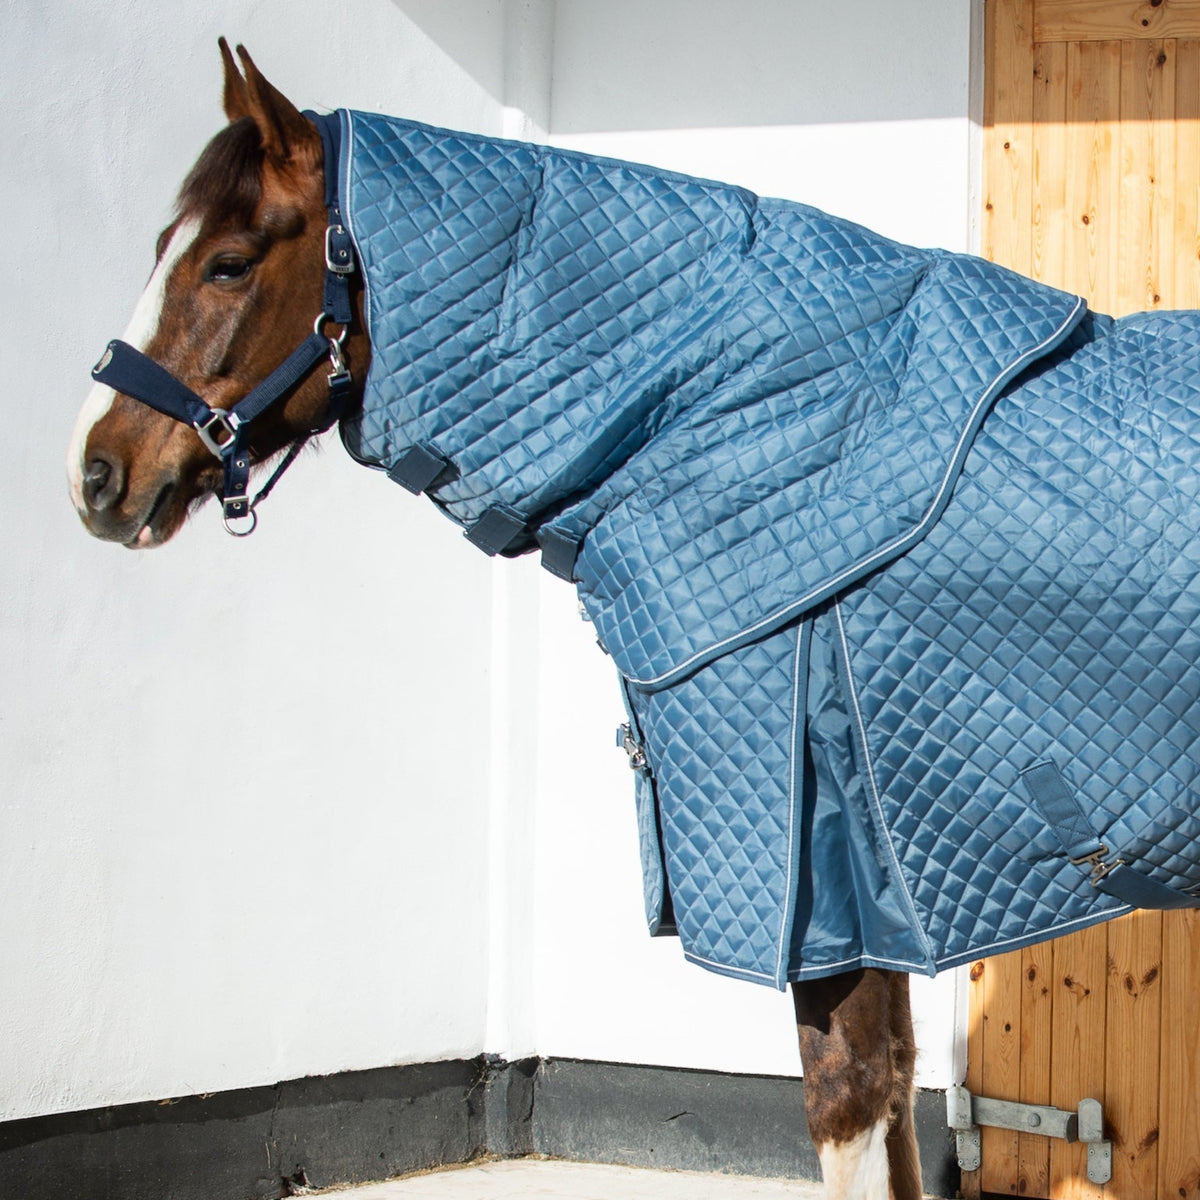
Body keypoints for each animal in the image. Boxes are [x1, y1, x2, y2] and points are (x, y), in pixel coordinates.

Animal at [67, 43, 921, 1200]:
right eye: (163, 247)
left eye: (230, 263)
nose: (95, 471)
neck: (769, 431)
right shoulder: (874, 904)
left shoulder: (833, 892)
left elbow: (853, 1100)